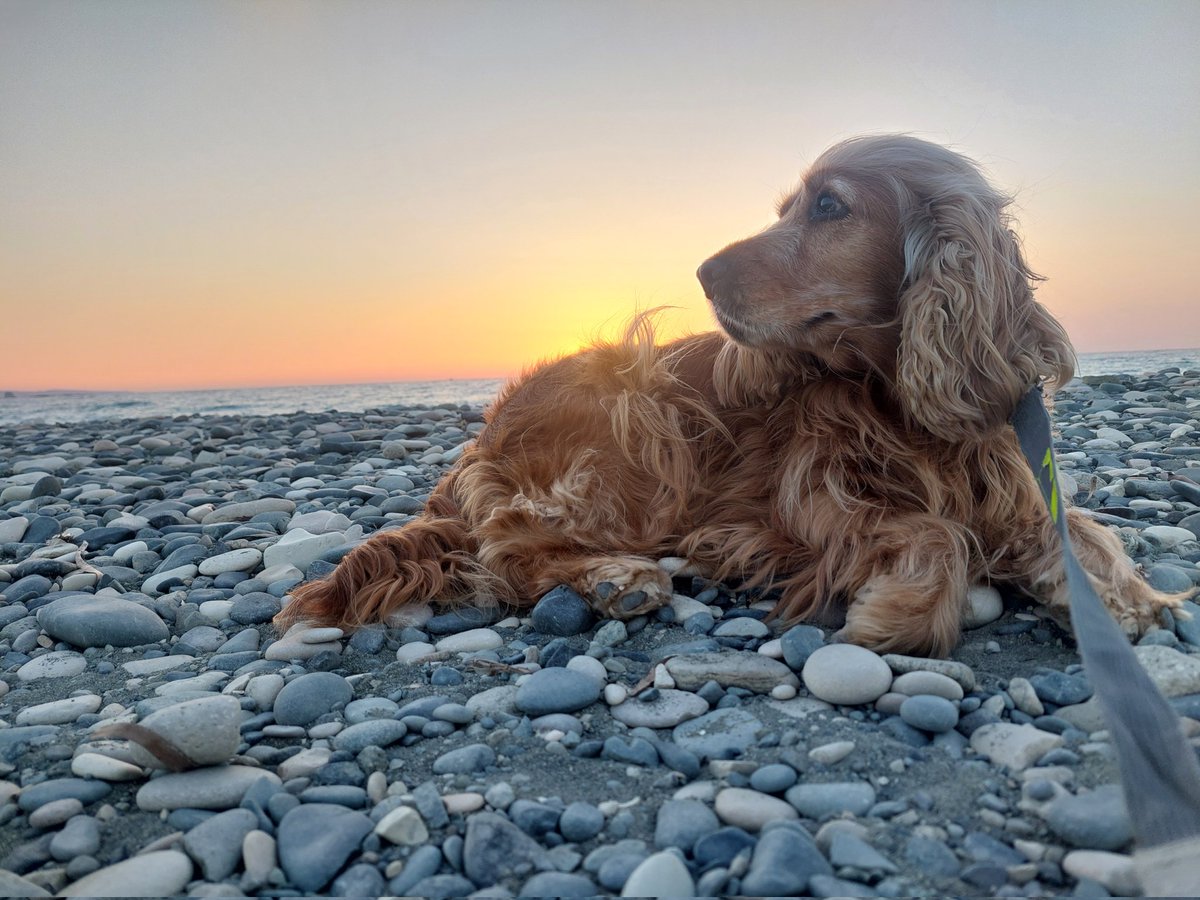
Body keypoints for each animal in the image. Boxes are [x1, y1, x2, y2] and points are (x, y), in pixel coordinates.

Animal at [274, 133, 1180, 657]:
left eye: (829, 206)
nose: (703, 273)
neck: (894, 395)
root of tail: (483, 439)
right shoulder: (806, 505)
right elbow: (933, 530)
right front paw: (899, 614)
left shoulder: (1014, 479)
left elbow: (1086, 532)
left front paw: (1130, 597)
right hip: (639, 412)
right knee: (504, 545)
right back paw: (619, 576)